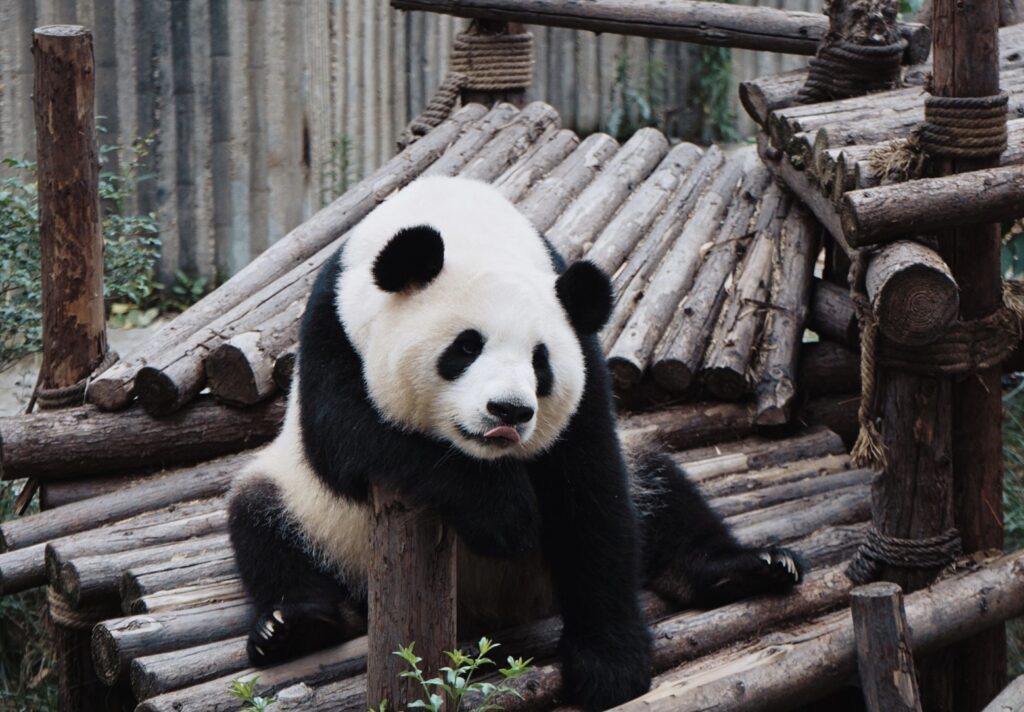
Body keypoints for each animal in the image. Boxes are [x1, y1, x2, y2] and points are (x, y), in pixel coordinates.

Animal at [228, 176, 803, 711]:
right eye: (465, 347)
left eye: (540, 362)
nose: (509, 411)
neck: (461, 218)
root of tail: (491, 610)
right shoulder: (333, 329)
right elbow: (352, 439)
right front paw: (504, 513)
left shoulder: (585, 359)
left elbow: (592, 490)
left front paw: (610, 663)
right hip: (315, 513)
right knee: (261, 522)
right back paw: (292, 625)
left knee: (663, 493)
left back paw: (748, 568)